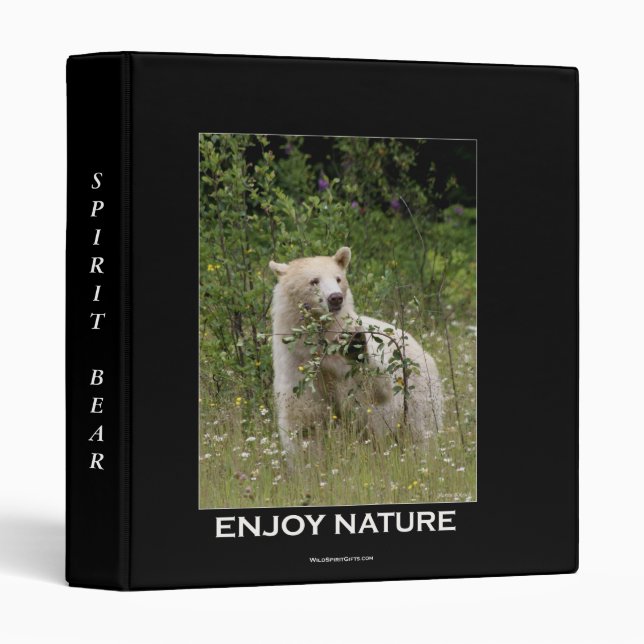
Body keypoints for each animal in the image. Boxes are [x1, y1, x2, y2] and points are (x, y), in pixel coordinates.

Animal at [269, 246, 443, 457]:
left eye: (338, 278)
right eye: (314, 281)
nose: (335, 298)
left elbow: (373, 391)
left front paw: (355, 345)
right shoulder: (296, 368)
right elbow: (305, 425)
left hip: (417, 394)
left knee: (421, 431)